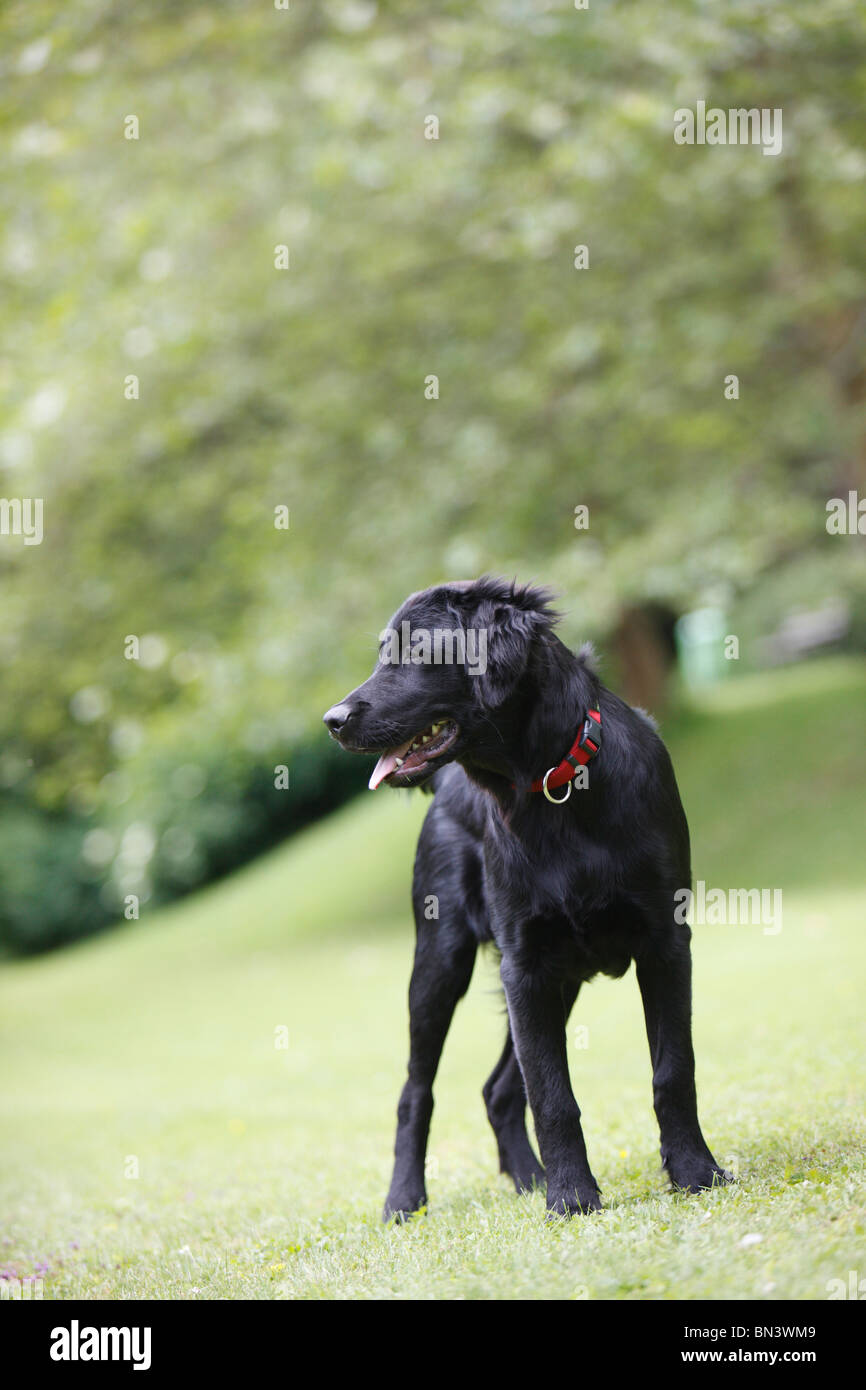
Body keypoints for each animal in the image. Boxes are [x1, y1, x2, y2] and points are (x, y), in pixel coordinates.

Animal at [322, 575, 728, 1217]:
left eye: (417, 651)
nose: (332, 720)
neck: (558, 787)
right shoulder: (525, 962)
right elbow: (552, 1095)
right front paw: (571, 1197)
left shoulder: (665, 944)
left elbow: (672, 1070)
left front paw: (694, 1170)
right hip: (440, 964)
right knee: (416, 1092)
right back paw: (405, 1199)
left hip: (557, 981)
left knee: (497, 1090)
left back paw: (528, 1178)